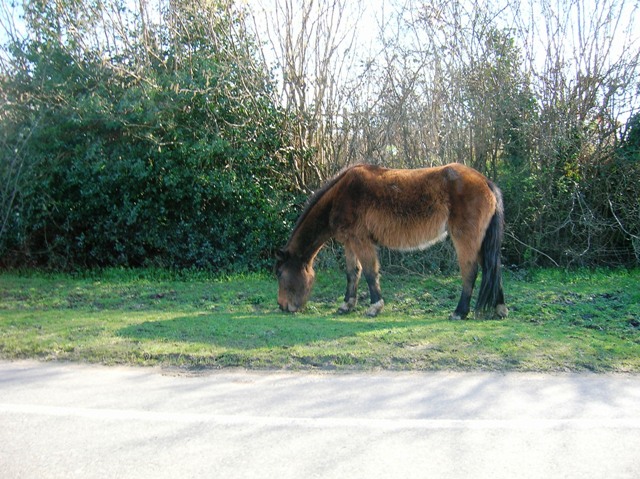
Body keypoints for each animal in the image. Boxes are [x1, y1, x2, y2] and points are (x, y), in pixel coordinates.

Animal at [272, 163, 508, 320]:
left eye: (280, 274)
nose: (282, 306)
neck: (339, 195)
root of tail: (485, 182)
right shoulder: (350, 243)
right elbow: (352, 273)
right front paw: (347, 305)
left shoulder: (361, 241)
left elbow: (369, 272)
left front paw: (374, 307)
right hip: (480, 243)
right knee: (493, 269)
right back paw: (500, 309)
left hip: (465, 239)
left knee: (470, 272)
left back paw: (459, 312)